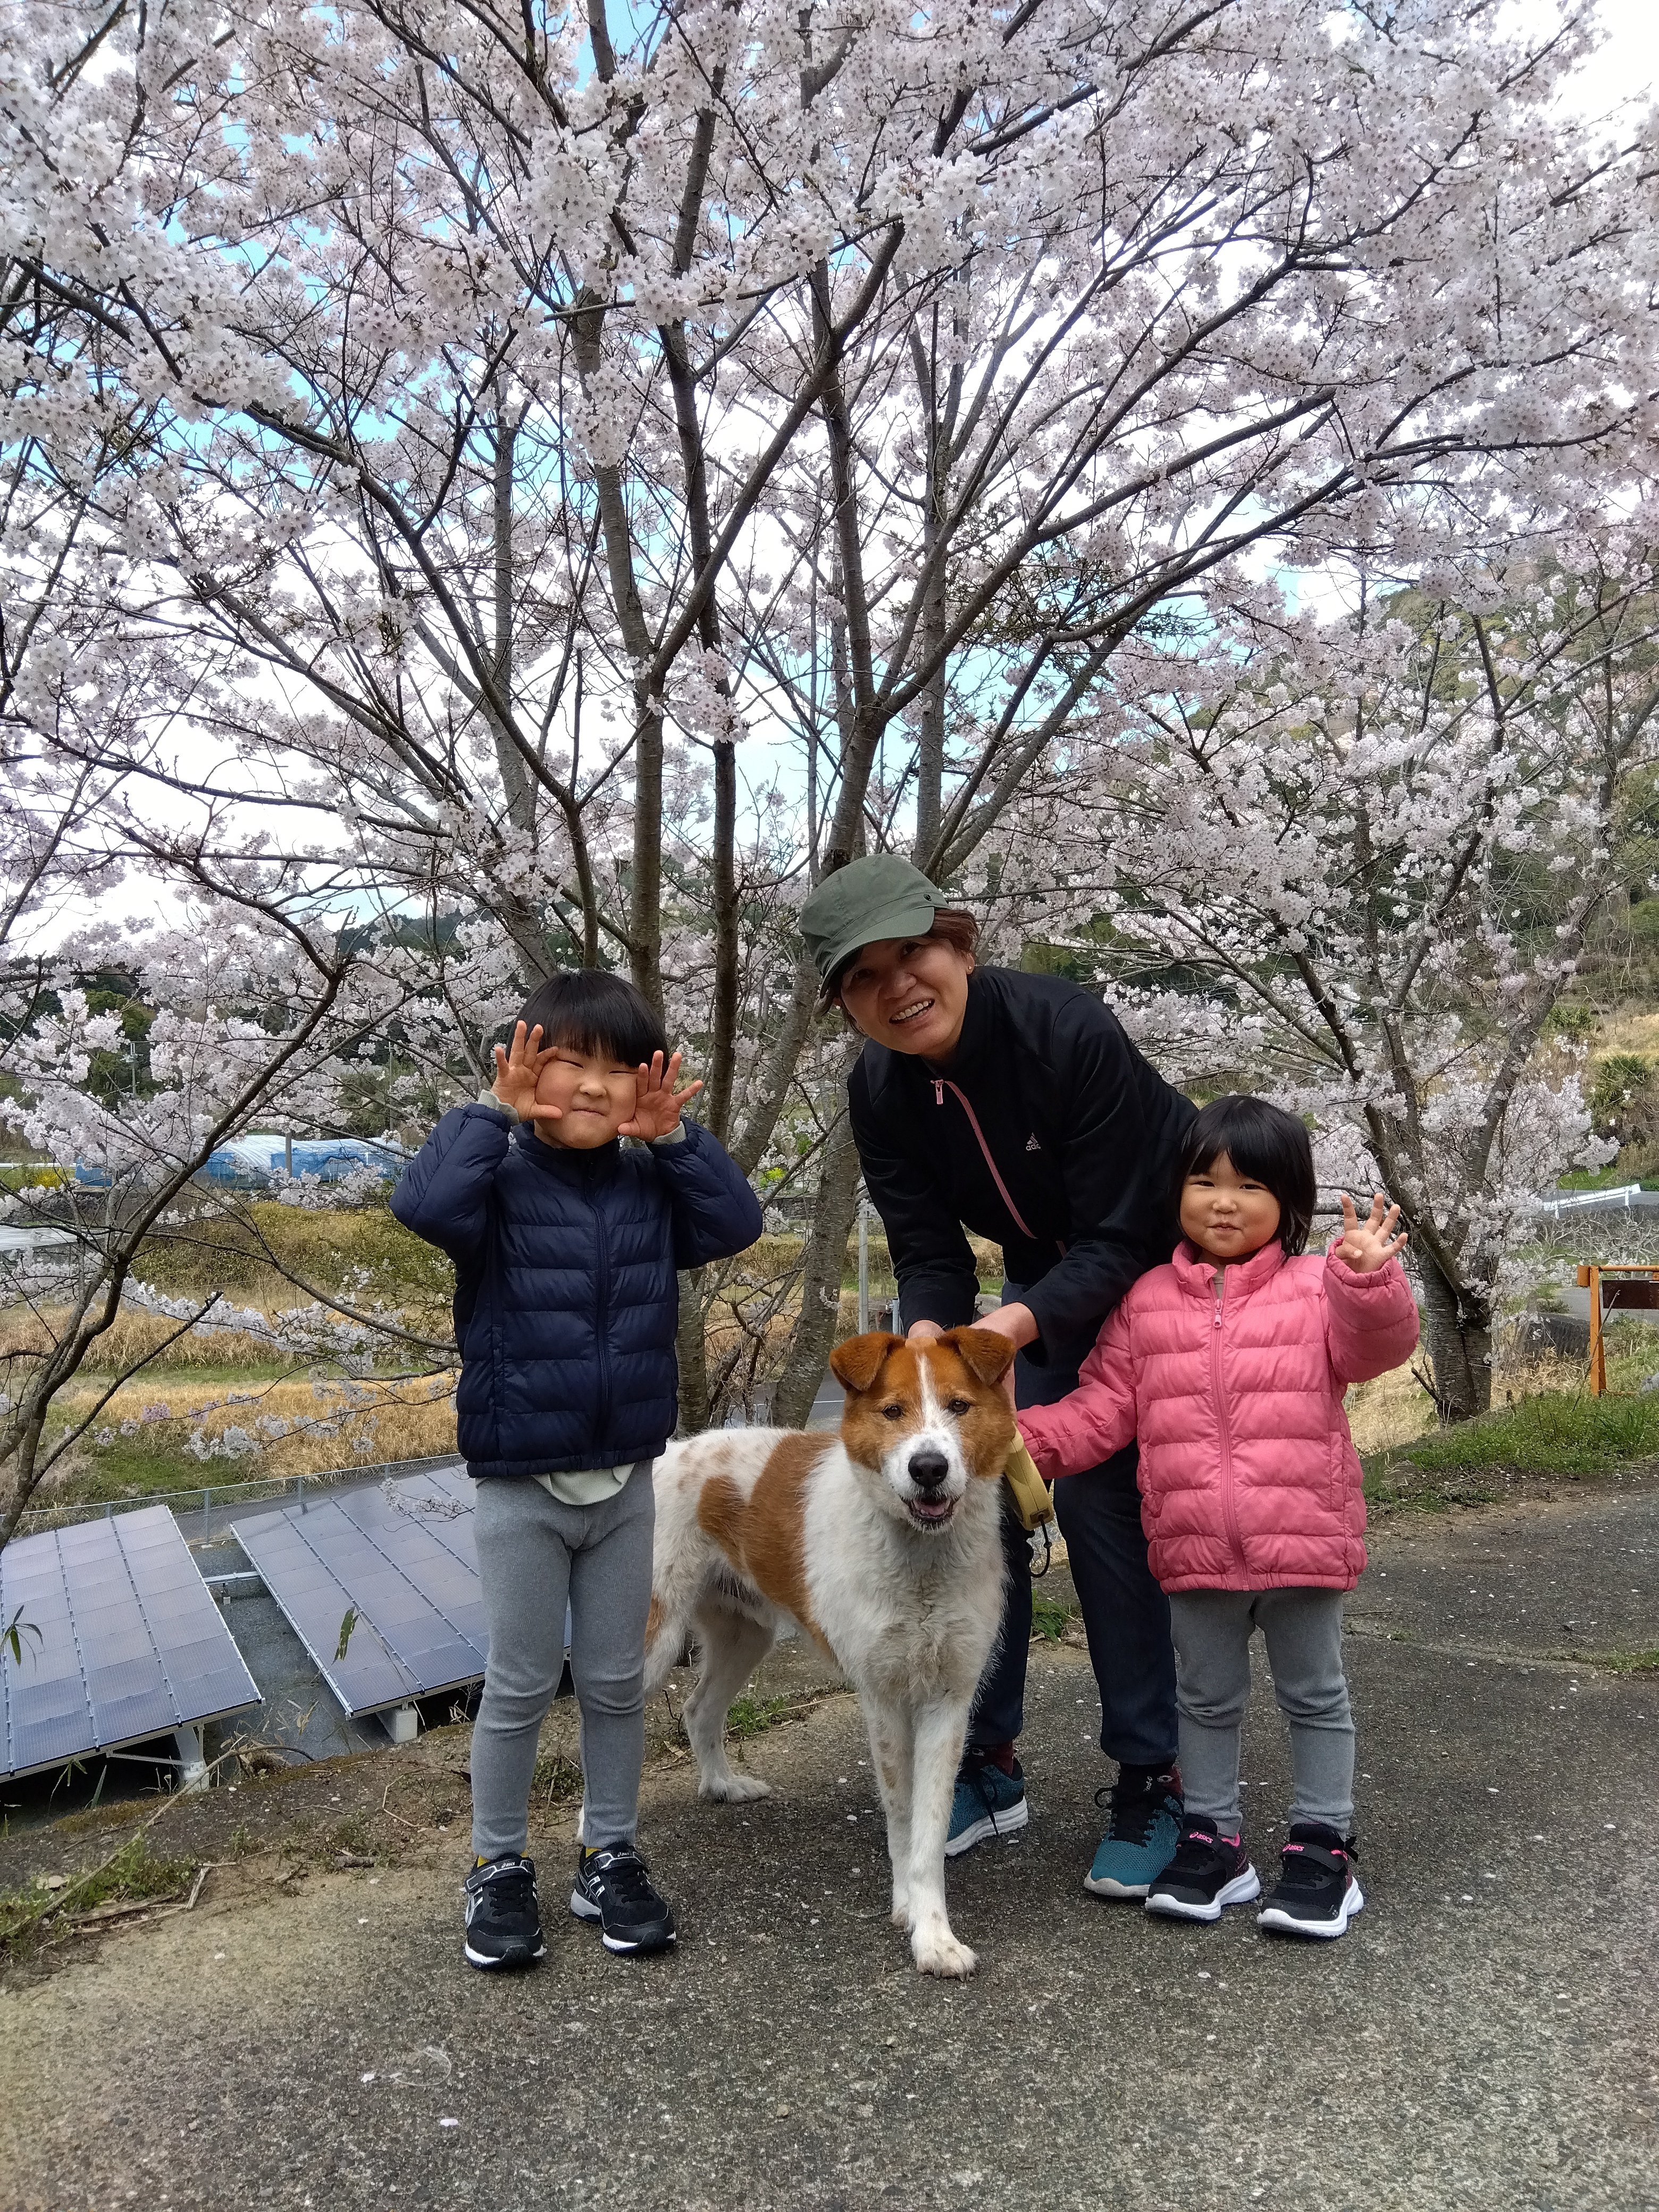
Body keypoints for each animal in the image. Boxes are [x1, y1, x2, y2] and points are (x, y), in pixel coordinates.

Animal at [646, 1318, 1013, 1982]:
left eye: (959, 1406)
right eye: (893, 1411)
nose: (928, 1466)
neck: (921, 1559)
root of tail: (673, 1453)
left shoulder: (949, 1699)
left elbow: (929, 1827)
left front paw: (934, 1932)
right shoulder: (885, 1697)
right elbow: (901, 1813)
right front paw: (909, 1913)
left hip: (744, 1634)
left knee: (698, 1709)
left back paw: (722, 1784)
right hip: (653, 1635)